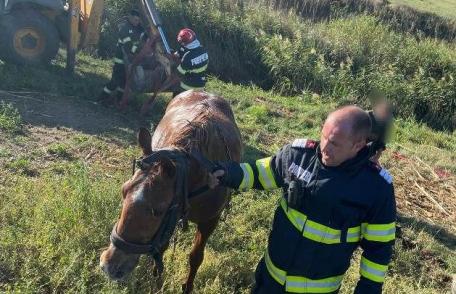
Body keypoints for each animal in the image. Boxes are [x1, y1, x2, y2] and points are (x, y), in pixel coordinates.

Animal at [99, 90, 242, 292]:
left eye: (157, 211)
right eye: (123, 191)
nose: (109, 265)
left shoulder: (209, 221)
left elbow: (196, 257)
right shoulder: (168, 224)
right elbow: (159, 255)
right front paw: (157, 285)